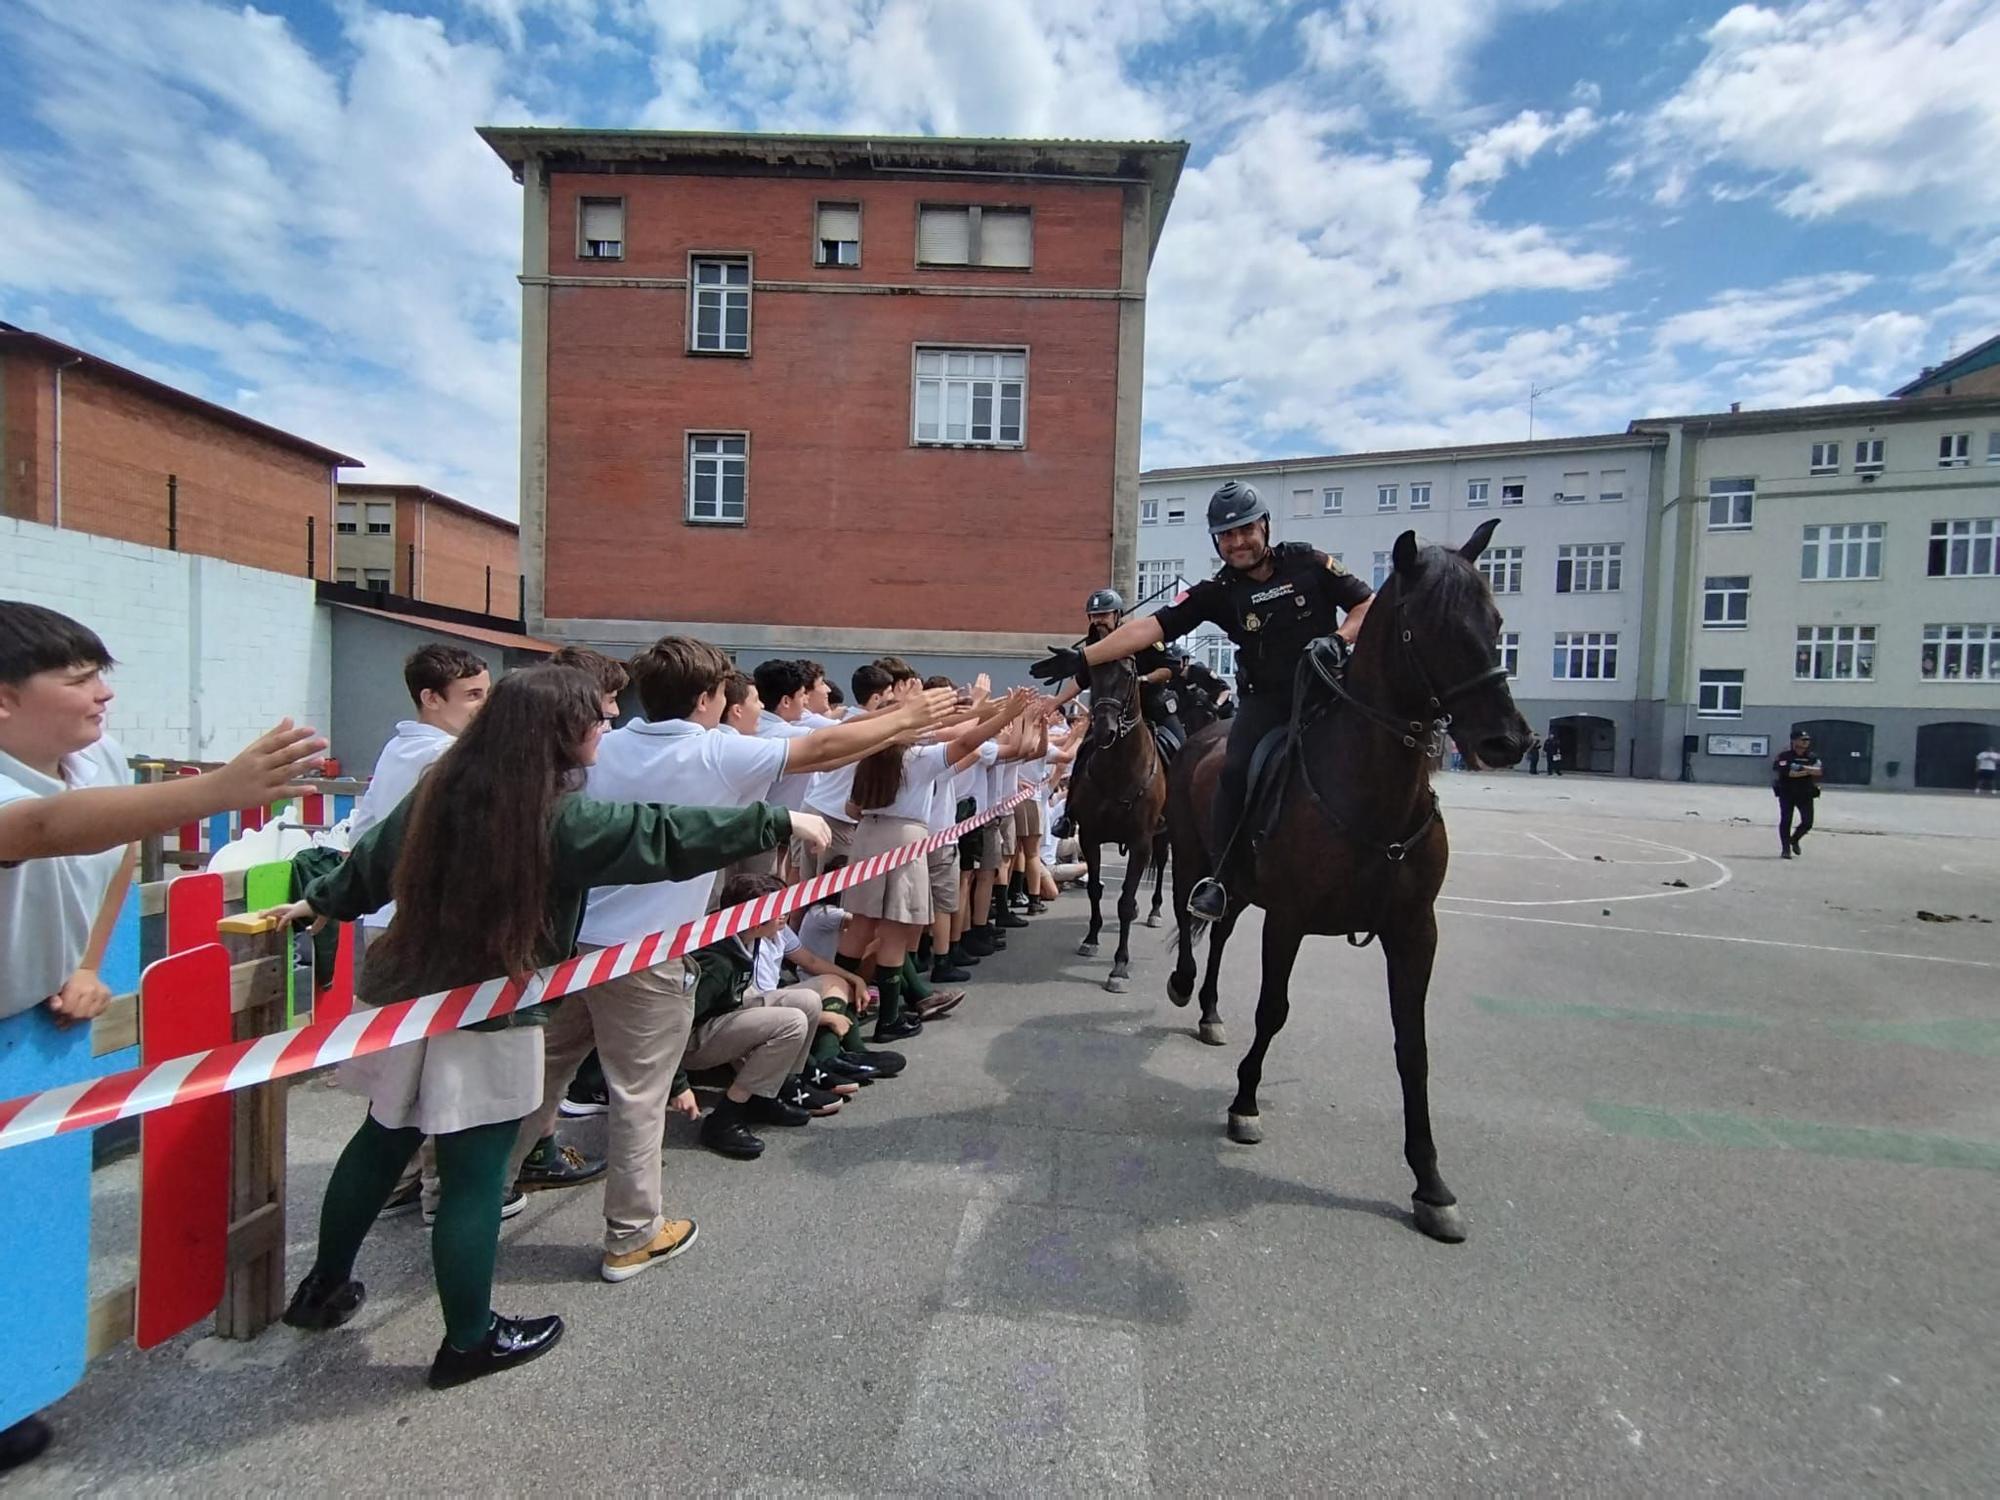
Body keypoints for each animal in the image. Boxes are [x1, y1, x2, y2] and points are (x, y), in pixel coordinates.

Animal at [1080, 652, 1168, 992]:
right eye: (1091, 672)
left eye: (1129, 674)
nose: (1104, 731)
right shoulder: (1089, 837)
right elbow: (1094, 888)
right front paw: (1091, 938)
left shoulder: (1141, 843)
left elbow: (1126, 903)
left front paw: (1119, 965)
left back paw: (1155, 909)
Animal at [1168, 524, 1520, 1248]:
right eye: (1432, 627)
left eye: (1497, 622)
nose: (1507, 740)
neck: (1373, 795)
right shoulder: (1290, 918)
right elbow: (1273, 1010)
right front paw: (1244, 1103)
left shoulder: (1414, 931)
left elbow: (1413, 1048)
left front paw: (1430, 1183)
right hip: (1193, 859)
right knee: (1191, 923)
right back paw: (1186, 986)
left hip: (1241, 888)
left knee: (1219, 934)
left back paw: (1211, 1009)